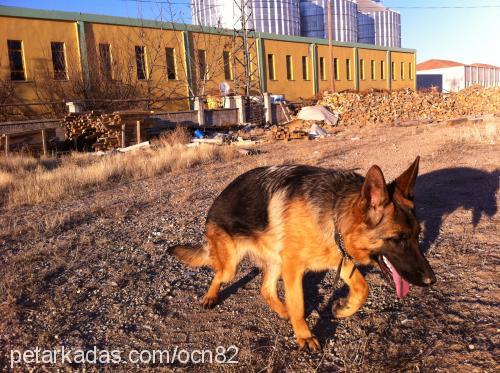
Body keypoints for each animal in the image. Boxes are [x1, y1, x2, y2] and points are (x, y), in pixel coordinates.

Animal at [170, 156, 436, 348]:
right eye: (398, 239)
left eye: (417, 235)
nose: (431, 280)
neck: (334, 213)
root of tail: (215, 203)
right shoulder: (294, 268)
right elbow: (298, 303)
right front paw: (304, 336)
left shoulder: (338, 258)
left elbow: (363, 289)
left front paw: (343, 308)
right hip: (233, 264)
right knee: (219, 274)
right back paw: (211, 297)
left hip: (275, 262)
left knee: (265, 289)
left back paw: (282, 311)